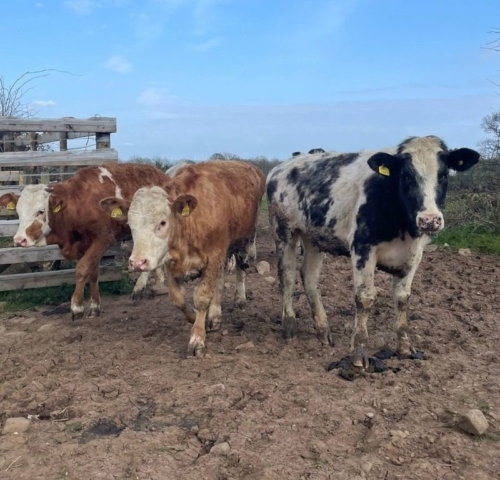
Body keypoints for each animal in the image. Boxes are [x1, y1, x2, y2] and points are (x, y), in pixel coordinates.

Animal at [0, 164, 169, 318]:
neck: (78, 203)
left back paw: (139, 288)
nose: (19, 240)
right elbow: (92, 273)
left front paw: (77, 306)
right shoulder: (83, 245)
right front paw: (94, 306)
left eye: (41, 211)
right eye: (18, 211)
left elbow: (82, 269)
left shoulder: (103, 239)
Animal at [99, 161, 268, 356]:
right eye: (130, 223)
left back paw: (239, 298)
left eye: (162, 222)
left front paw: (197, 338)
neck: (189, 224)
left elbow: (202, 297)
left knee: (241, 269)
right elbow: (178, 300)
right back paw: (215, 315)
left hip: (246, 239)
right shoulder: (171, 263)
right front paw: (196, 318)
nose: (137, 263)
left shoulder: (214, 255)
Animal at [268, 136, 478, 378]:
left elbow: (403, 298)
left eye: (443, 175)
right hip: (284, 231)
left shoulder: (415, 254)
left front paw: (404, 349)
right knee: (287, 276)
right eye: (406, 176)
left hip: (314, 236)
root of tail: (283, 166)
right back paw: (289, 326)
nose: (430, 220)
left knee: (309, 277)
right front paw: (358, 357)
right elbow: (365, 298)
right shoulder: (362, 249)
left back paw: (322, 330)